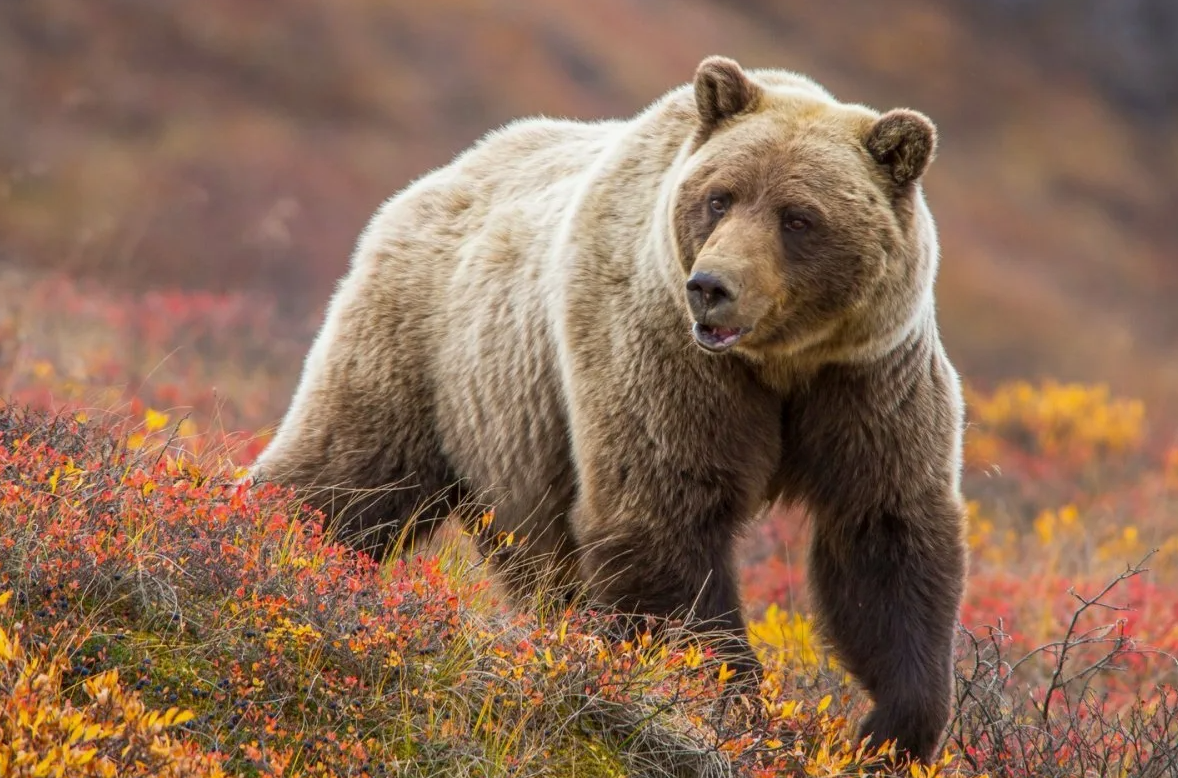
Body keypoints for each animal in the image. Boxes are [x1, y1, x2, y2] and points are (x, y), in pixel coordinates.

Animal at [248, 56, 965, 763]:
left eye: (798, 217)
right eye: (720, 197)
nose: (711, 287)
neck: (779, 362)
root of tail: (438, 178)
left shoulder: (867, 381)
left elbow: (883, 533)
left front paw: (892, 732)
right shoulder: (663, 359)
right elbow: (664, 521)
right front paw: (730, 707)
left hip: (517, 447)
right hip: (425, 350)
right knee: (345, 475)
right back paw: (273, 543)